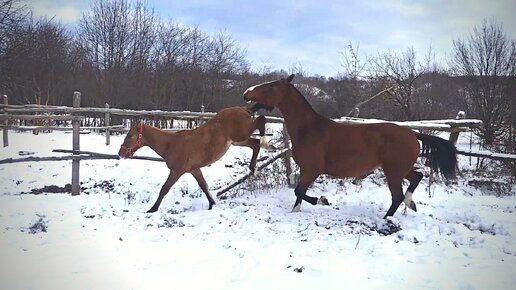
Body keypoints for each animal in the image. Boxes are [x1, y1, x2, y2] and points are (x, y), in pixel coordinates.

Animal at [117, 105, 270, 212]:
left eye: (129, 136)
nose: (120, 153)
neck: (170, 144)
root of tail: (244, 109)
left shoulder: (176, 171)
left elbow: (164, 189)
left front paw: (152, 209)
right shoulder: (194, 170)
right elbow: (204, 185)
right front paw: (211, 204)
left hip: (241, 134)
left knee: (261, 120)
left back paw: (264, 144)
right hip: (238, 140)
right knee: (255, 144)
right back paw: (256, 166)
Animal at [242, 75, 456, 218]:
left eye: (272, 85)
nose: (246, 93)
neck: (309, 129)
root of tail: (412, 133)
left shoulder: (313, 170)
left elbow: (299, 191)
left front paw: (321, 201)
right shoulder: (305, 170)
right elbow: (298, 191)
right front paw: (298, 209)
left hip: (393, 172)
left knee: (397, 196)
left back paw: (387, 218)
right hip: (399, 169)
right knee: (417, 177)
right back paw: (411, 204)